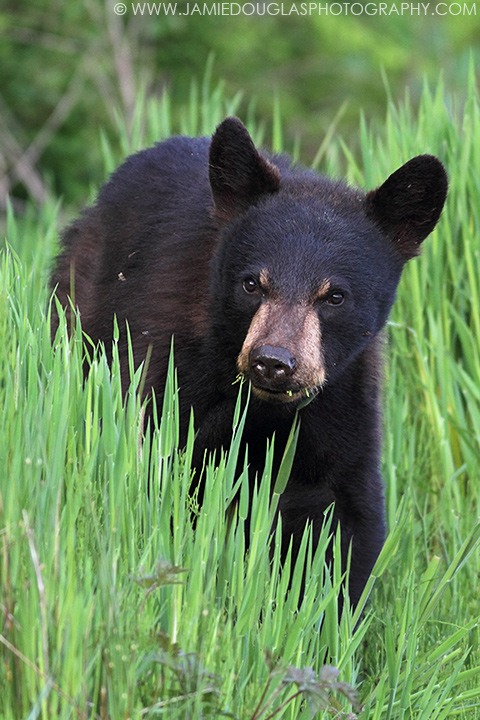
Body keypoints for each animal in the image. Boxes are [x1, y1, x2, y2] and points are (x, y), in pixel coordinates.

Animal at [52, 117, 448, 608]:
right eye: (252, 283)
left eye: (334, 295)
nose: (273, 362)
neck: (263, 407)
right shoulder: (166, 369)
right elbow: (153, 470)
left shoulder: (342, 402)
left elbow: (345, 520)